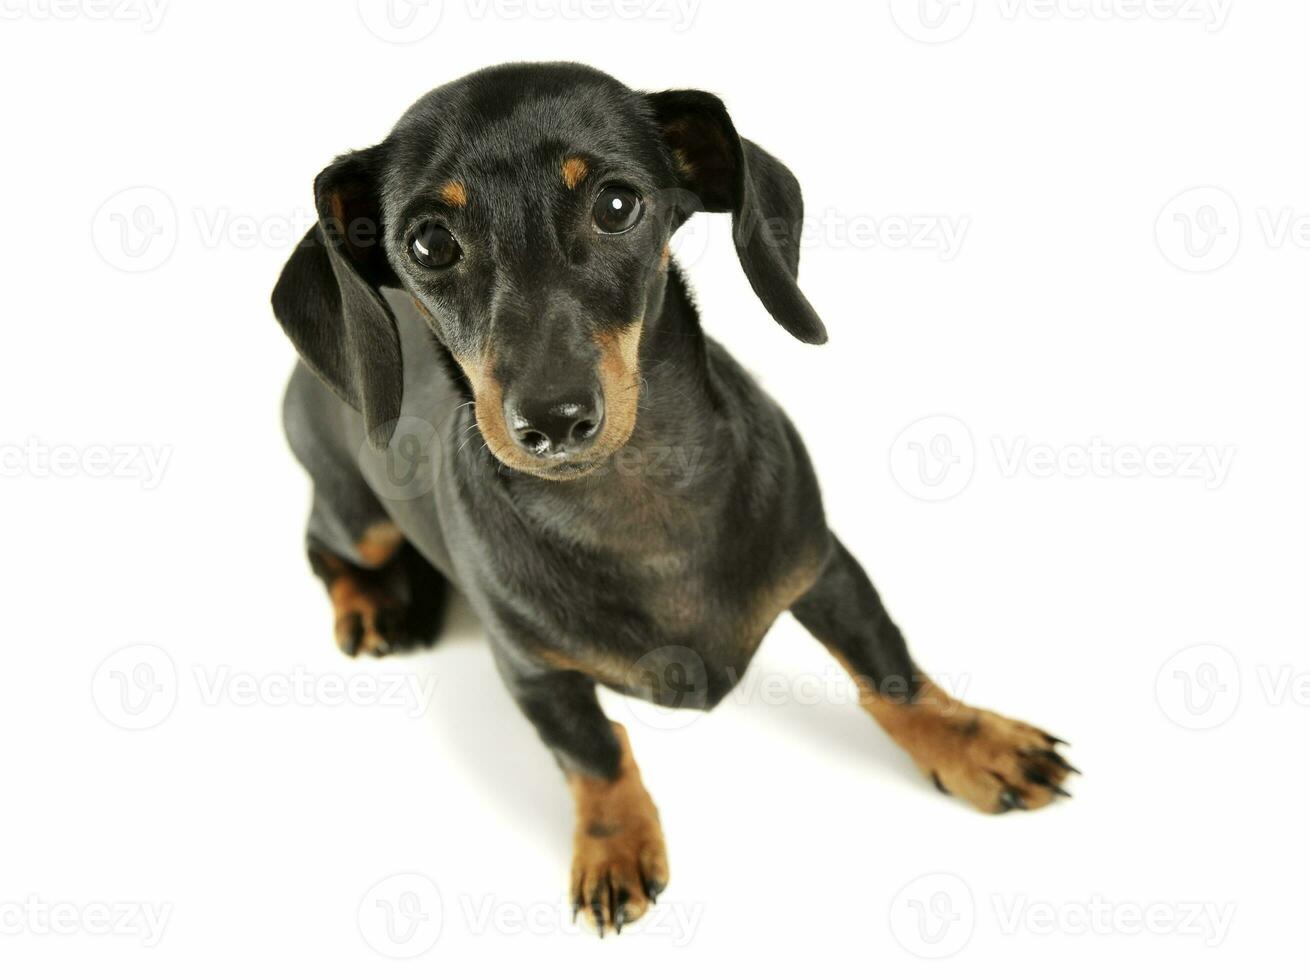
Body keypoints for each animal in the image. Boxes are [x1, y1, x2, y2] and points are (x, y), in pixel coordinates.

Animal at [273, 61, 1074, 932]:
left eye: (618, 205)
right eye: (429, 242)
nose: (553, 421)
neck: (634, 498)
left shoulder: (822, 563)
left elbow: (887, 666)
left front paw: (975, 743)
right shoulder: (530, 671)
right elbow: (593, 754)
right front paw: (614, 846)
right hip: (357, 518)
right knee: (320, 542)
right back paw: (369, 606)